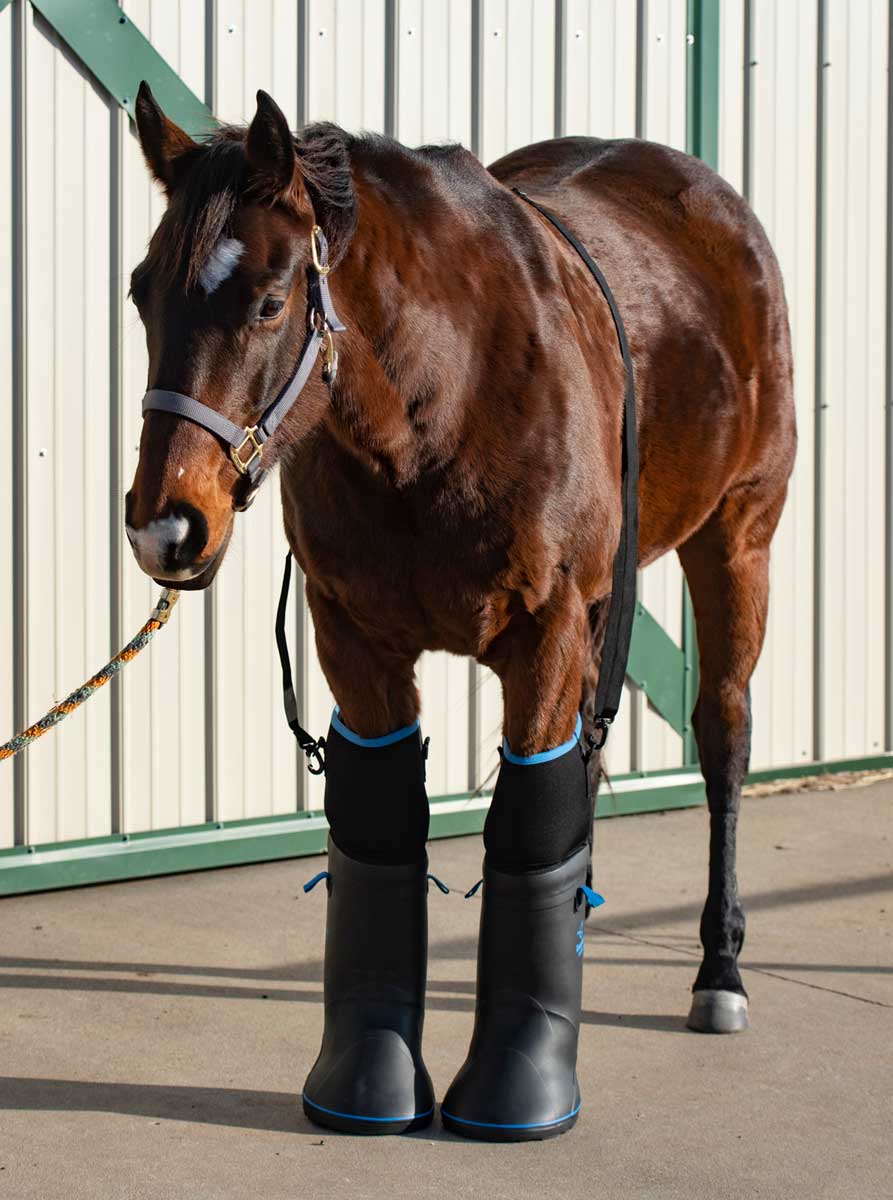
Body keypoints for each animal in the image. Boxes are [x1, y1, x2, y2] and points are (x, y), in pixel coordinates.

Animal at [125, 83, 795, 1141]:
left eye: (270, 301)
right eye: (140, 291)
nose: (167, 529)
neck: (447, 398)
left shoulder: (547, 632)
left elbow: (526, 825)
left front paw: (521, 1094)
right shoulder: (353, 640)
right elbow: (384, 823)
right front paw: (366, 1090)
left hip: (737, 538)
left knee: (723, 734)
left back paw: (718, 972)